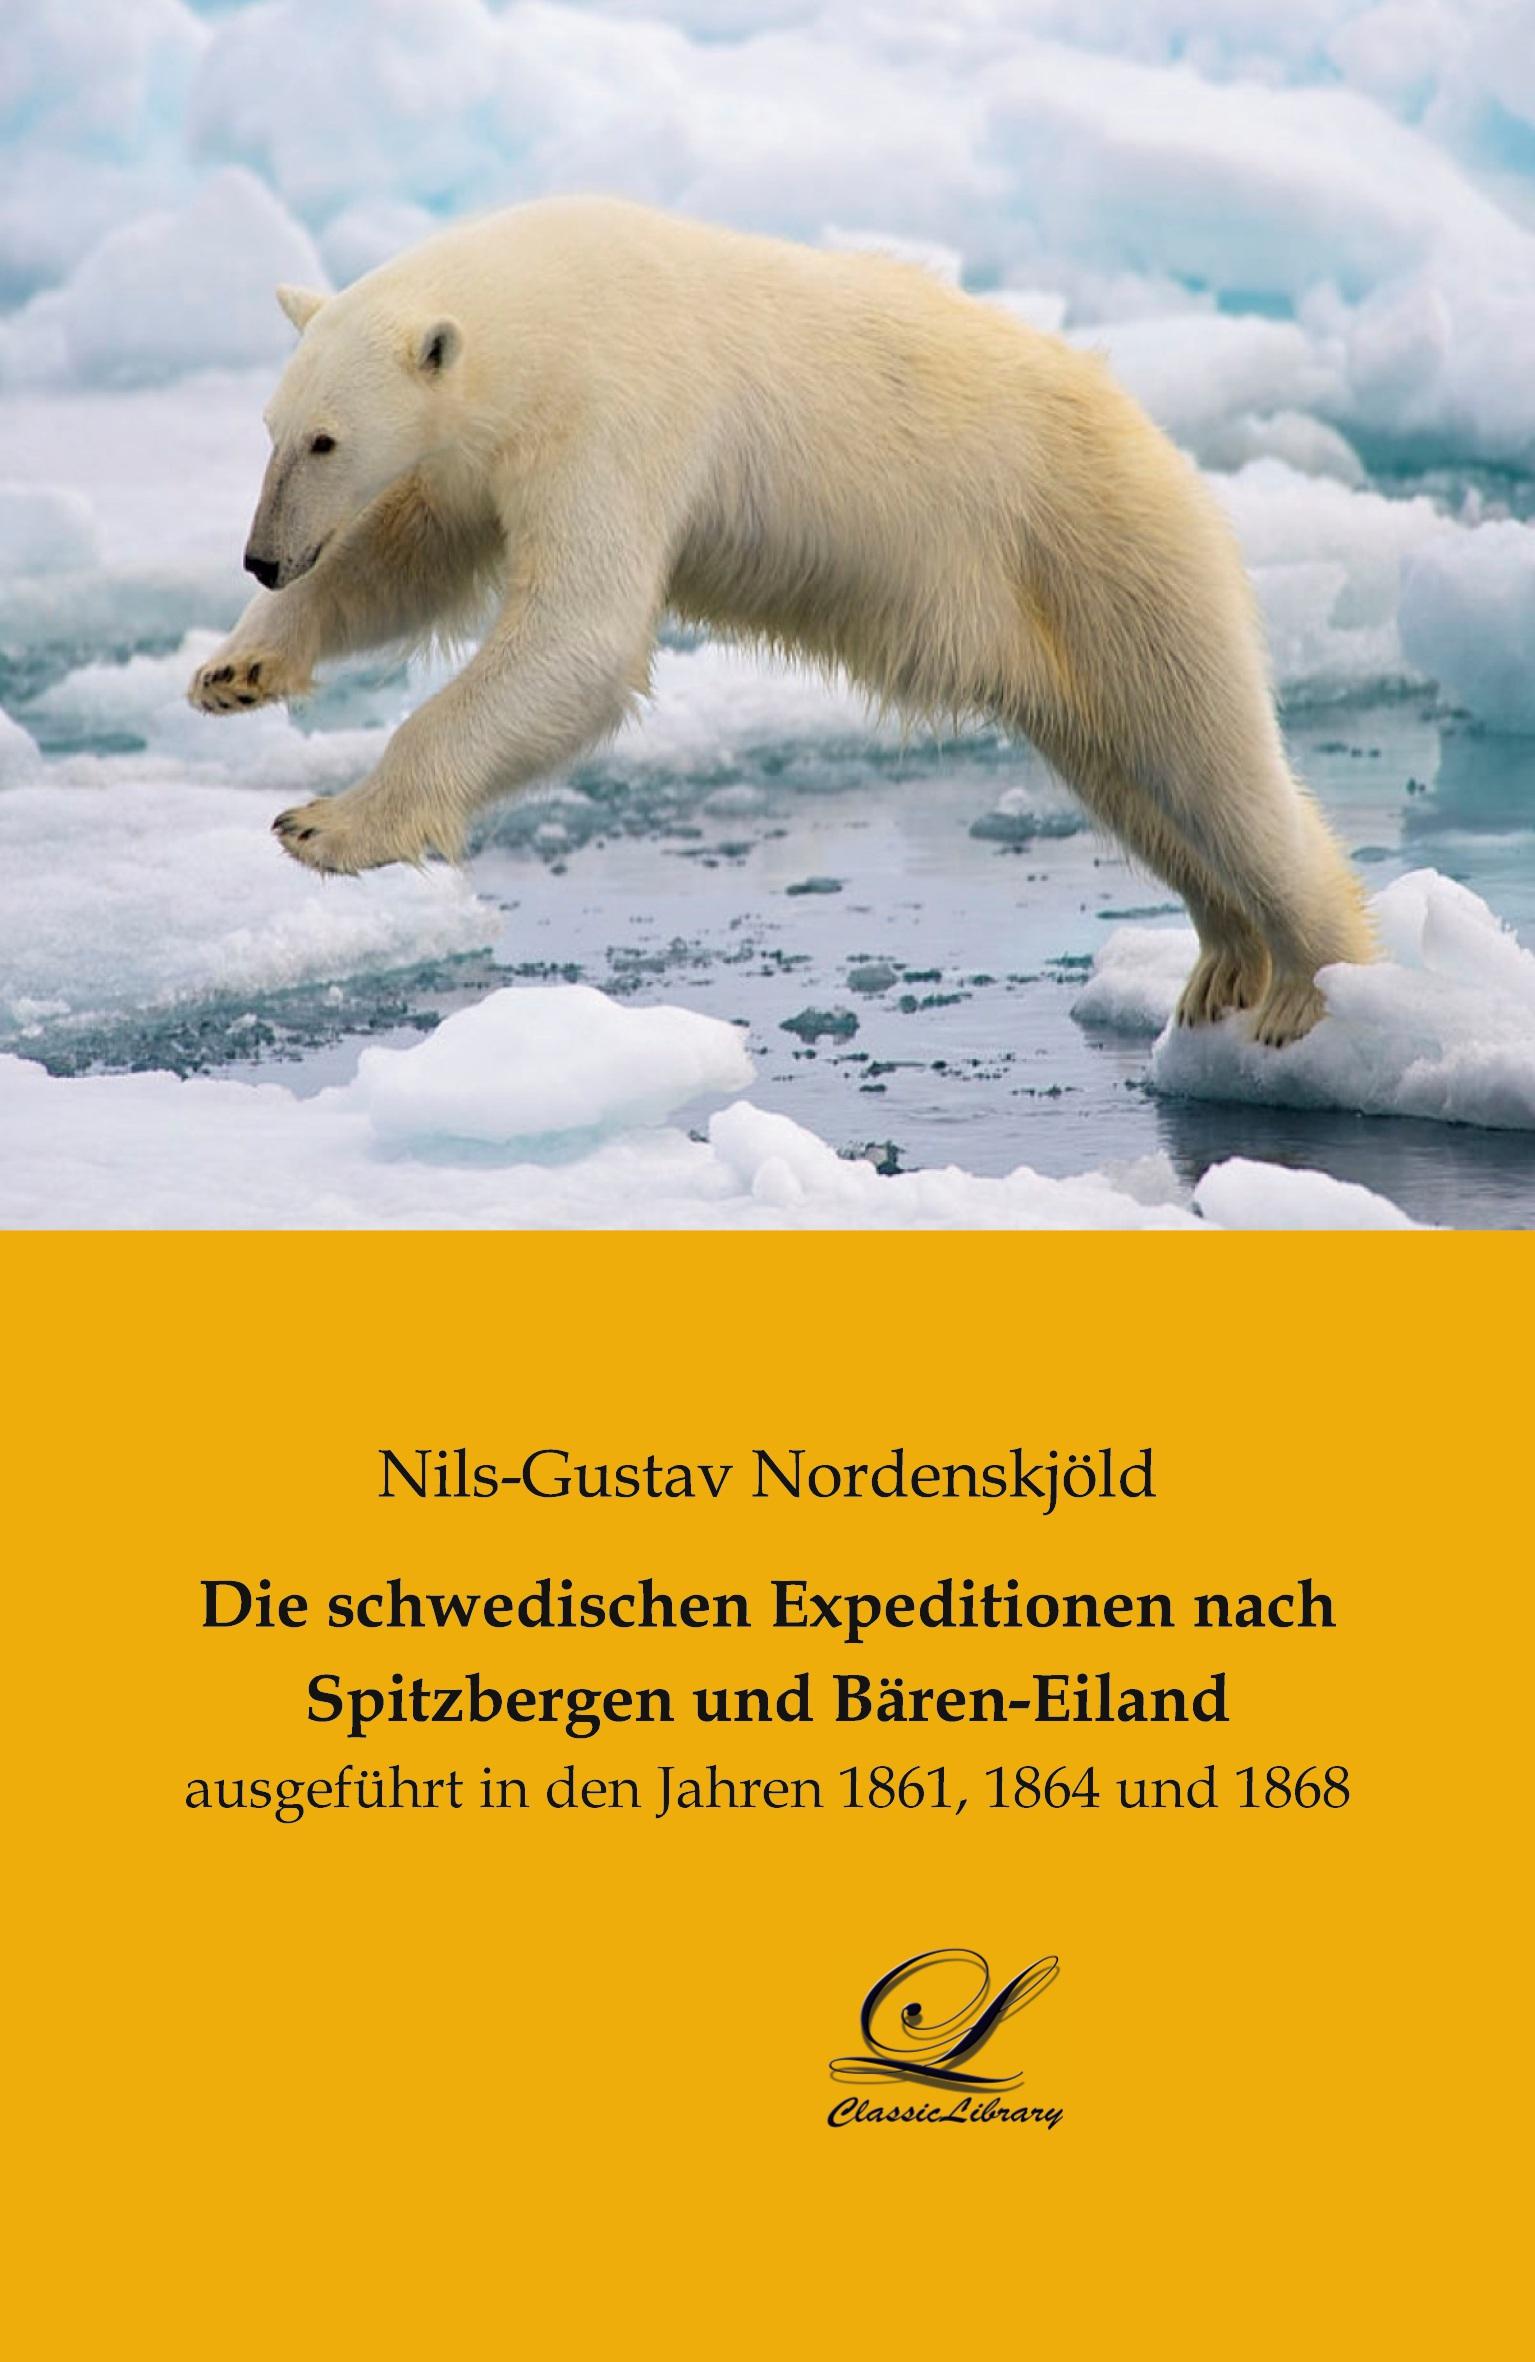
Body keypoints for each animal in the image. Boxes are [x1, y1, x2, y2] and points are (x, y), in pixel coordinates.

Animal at [188, 195, 1374, 1045]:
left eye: (326, 439)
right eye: (271, 427)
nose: (261, 552)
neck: (547, 306)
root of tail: (1156, 439)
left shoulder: (617, 412)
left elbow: (578, 634)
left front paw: (325, 824)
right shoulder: (486, 452)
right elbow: (406, 556)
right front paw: (237, 670)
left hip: (1102, 550)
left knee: (1209, 759)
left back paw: (1304, 986)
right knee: (1131, 780)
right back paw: (1223, 960)